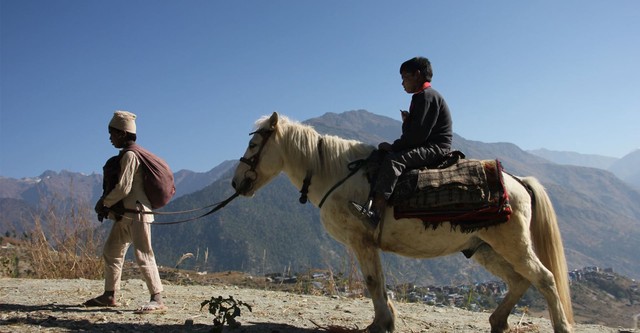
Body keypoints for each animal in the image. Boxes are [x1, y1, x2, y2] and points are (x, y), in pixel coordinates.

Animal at [231, 112, 576, 332]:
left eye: (253, 145)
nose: (236, 182)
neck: (339, 173)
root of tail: (517, 181)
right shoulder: (367, 244)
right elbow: (379, 282)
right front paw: (386, 320)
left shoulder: (361, 240)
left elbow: (373, 281)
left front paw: (381, 323)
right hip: (485, 249)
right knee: (519, 280)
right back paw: (498, 322)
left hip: (512, 244)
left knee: (544, 278)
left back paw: (559, 326)